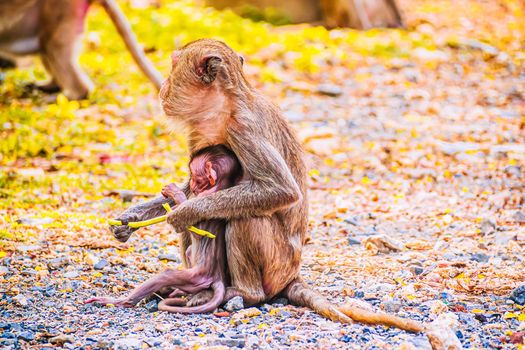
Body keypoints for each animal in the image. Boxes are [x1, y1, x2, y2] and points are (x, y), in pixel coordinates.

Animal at [86, 144, 242, 314]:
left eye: (195, 177)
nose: (192, 185)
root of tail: (217, 279)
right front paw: (126, 222)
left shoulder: (203, 199)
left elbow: (196, 227)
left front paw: (175, 193)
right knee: (189, 253)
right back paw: (178, 291)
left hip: (197, 278)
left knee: (167, 275)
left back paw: (123, 301)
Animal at [110, 39, 426, 336]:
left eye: (174, 65)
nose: (163, 85)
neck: (223, 106)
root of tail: (291, 276)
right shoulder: (198, 131)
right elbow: (190, 188)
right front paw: (132, 218)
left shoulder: (244, 130)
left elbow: (280, 190)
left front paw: (184, 212)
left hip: (277, 266)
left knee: (246, 218)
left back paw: (243, 293)